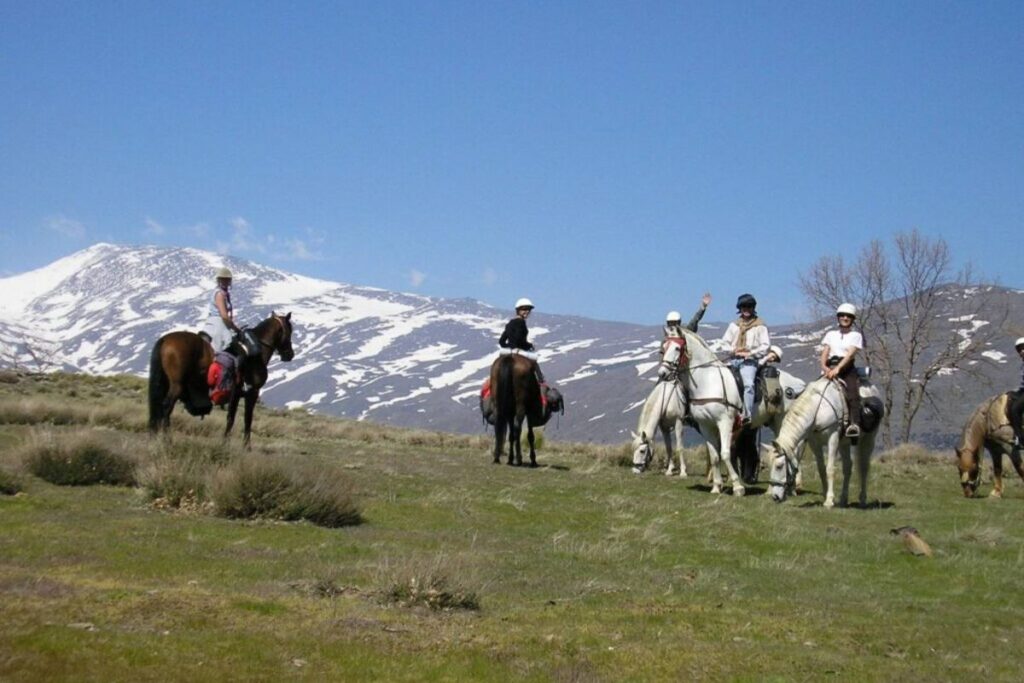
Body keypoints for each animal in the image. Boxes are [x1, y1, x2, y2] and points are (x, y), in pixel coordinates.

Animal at [147, 311, 296, 448]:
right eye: (290, 330)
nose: (290, 354)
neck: (256, 353)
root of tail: (165, 340)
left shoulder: (236, 394)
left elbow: (231, 418)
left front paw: (225, 443)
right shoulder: (252, 392)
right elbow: (248, 419)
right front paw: (246, 446)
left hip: (164, 383)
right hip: (177, 385)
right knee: (166, 406)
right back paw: (167, 439)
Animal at [765, 376, 884, 509]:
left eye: (779, 466)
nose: (775, 497)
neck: (817, 410)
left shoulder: (833, 438)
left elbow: (830, 469)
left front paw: (829, 500)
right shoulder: (814, 443)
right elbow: (821, 469)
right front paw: (825, 495)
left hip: (868, 439)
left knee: (864, 467)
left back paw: (862, 500)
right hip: (844, 444)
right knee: (848, 466)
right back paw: (843, 500)